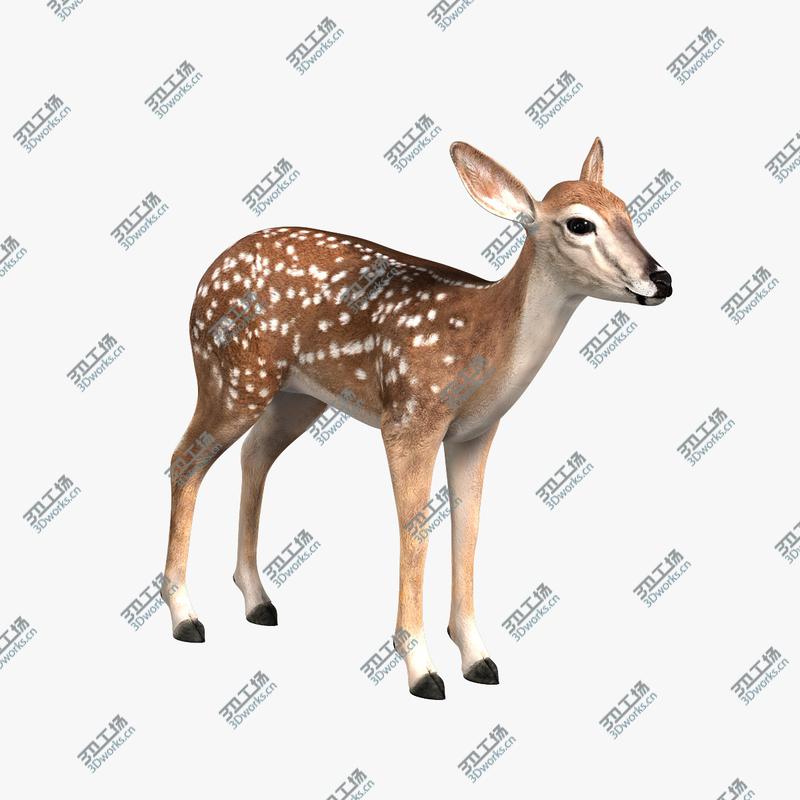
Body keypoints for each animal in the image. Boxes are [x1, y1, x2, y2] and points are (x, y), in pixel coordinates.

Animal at [162, 138, 673, 700]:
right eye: (580, 223)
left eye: (628, 211)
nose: (661, 278)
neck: (484, 340)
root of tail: (208, 273)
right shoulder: (410, 417)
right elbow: (416, 529)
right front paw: (422, 669)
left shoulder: (475, 433)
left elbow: (469, 528)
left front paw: (477, 657)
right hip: (230, 374)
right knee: (184, 460)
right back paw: (186, 617)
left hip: (297, 395)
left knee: (253, 455)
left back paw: (258, 601)